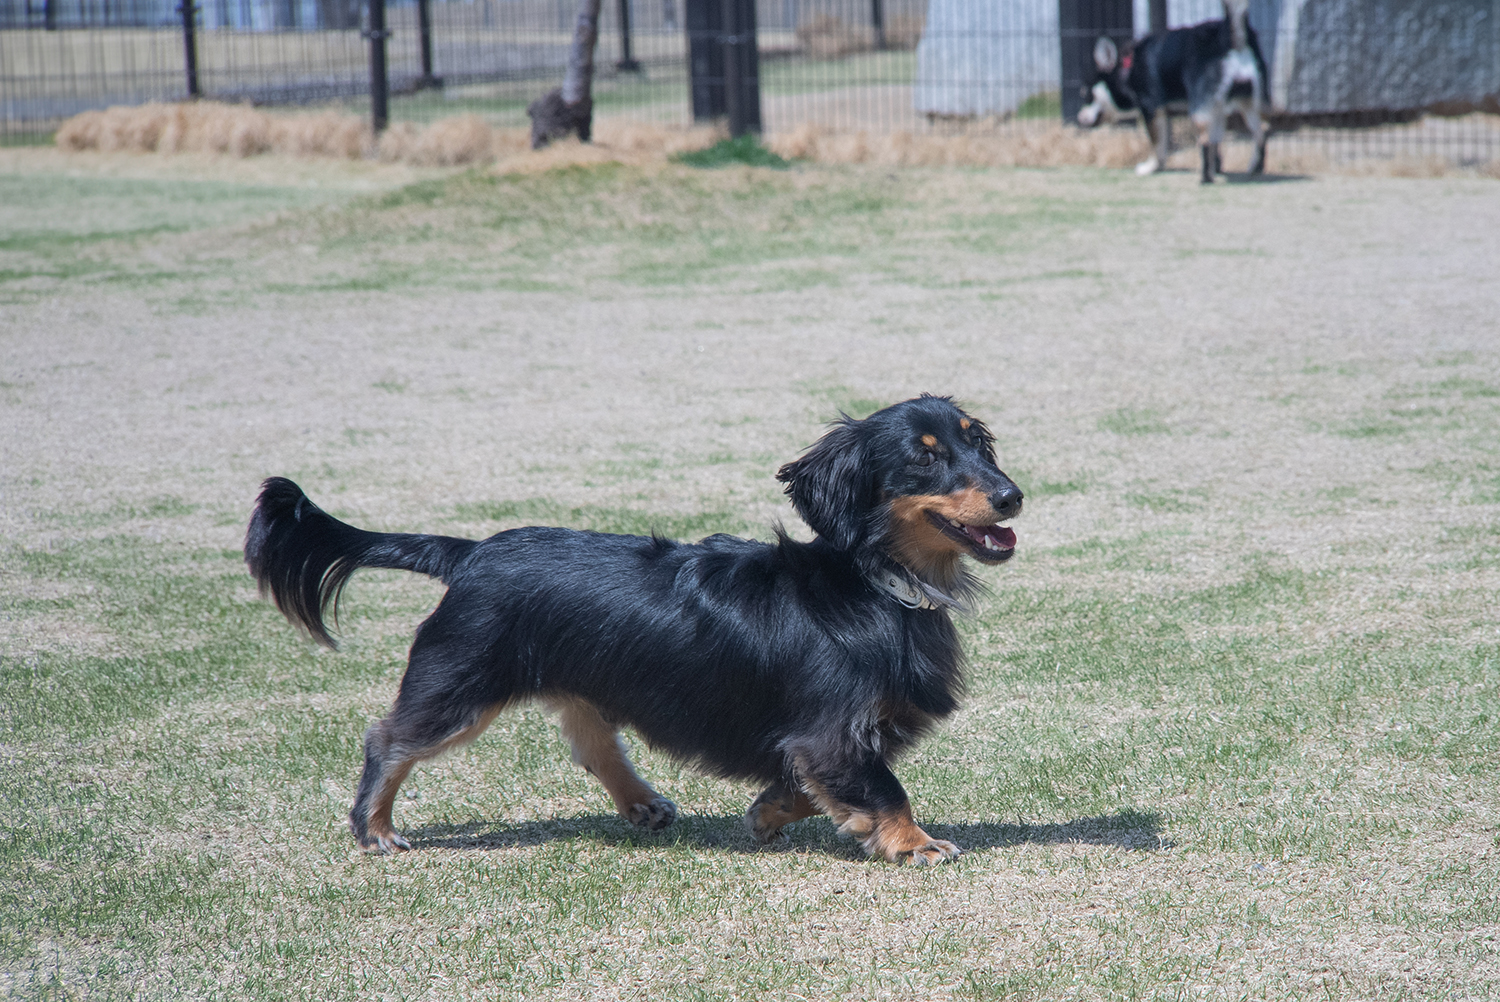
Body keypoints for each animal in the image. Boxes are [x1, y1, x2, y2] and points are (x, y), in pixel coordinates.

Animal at [249, 396, 1020, 864]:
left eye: (979, 444)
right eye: (923, 456)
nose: (1013, 495)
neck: (871, 584)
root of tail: (470, 552)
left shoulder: (834, 735)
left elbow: (811, 782)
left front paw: (768, 812)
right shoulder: (831, 729)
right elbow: (882, 785)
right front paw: (914, 841)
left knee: (591, 740)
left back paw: (642, 802)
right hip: (458, 683)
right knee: (390, 740)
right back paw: (375, 828)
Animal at [1080, 0, 1266, 182]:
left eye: (1086, 94)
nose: (1079, 118)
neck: (1127, 67)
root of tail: (1232, 36)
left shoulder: (1151, 107)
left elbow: (1157, 144)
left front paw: (1151, 167)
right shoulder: (1216, 109)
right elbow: (1216, 144)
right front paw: (1218, 169)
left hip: (1199, 107)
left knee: (1205, 139)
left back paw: (1204, 177)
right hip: (1250, 102)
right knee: (1261, 131)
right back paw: (1254, 168)